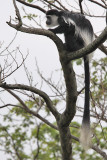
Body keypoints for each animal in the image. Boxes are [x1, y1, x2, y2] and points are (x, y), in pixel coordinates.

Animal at [45, 9, 94, 148]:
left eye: (48, 17)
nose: (46, 21)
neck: (60, 14)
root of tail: (87, 54)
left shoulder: (64, 20)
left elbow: (66, 27)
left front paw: (52, 31)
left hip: (78, 43)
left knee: (70, 32)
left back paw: (68, 46)